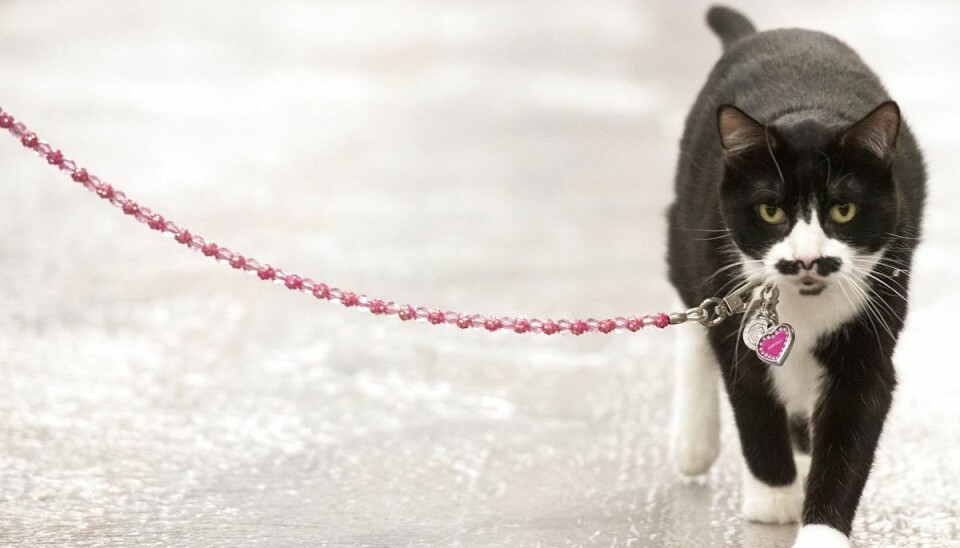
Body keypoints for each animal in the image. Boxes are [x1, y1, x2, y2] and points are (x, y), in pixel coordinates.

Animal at [668, 5, 924, 548]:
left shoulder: (870, 342)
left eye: (843, 210)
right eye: (771, 211)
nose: (807, 259)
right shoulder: (734, 312)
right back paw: (694, 442)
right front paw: (772, 499)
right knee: (694, 315)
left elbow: (849, 434)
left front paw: (820, 528)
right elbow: (752, 399)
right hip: (684, 226)